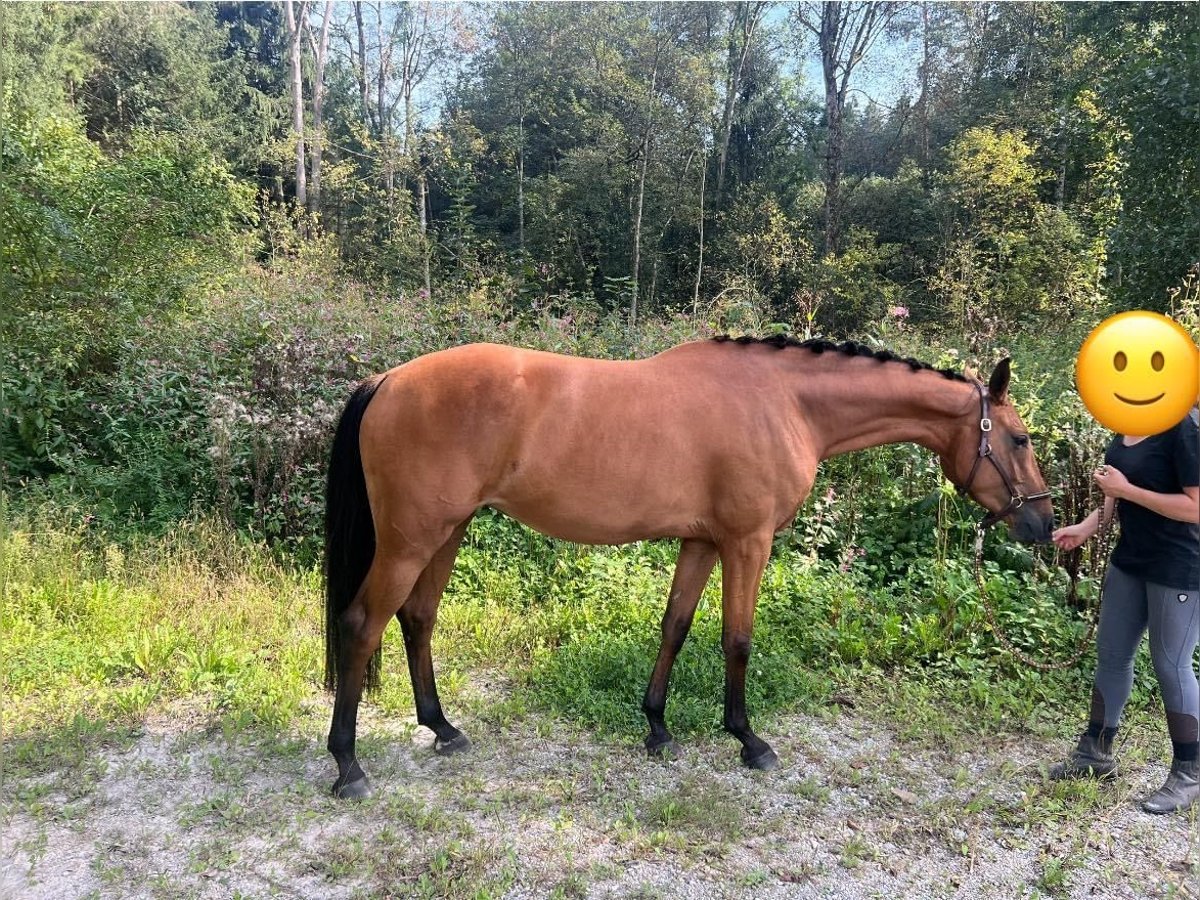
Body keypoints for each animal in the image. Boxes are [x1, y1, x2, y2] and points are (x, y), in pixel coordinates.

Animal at [324, 336, 1056, 796]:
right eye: (1020, 440)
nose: (1044, 525)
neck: (785, 401)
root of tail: (387, 380)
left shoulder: (701, 542)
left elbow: (675, 626)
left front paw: (656, 728)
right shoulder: (747, 542)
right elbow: (737, 640)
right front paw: (749, 741)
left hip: (446, 532)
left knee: (417, 619)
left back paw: (443, 729)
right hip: (412, 540)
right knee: (362, 625)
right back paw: (349, 765)